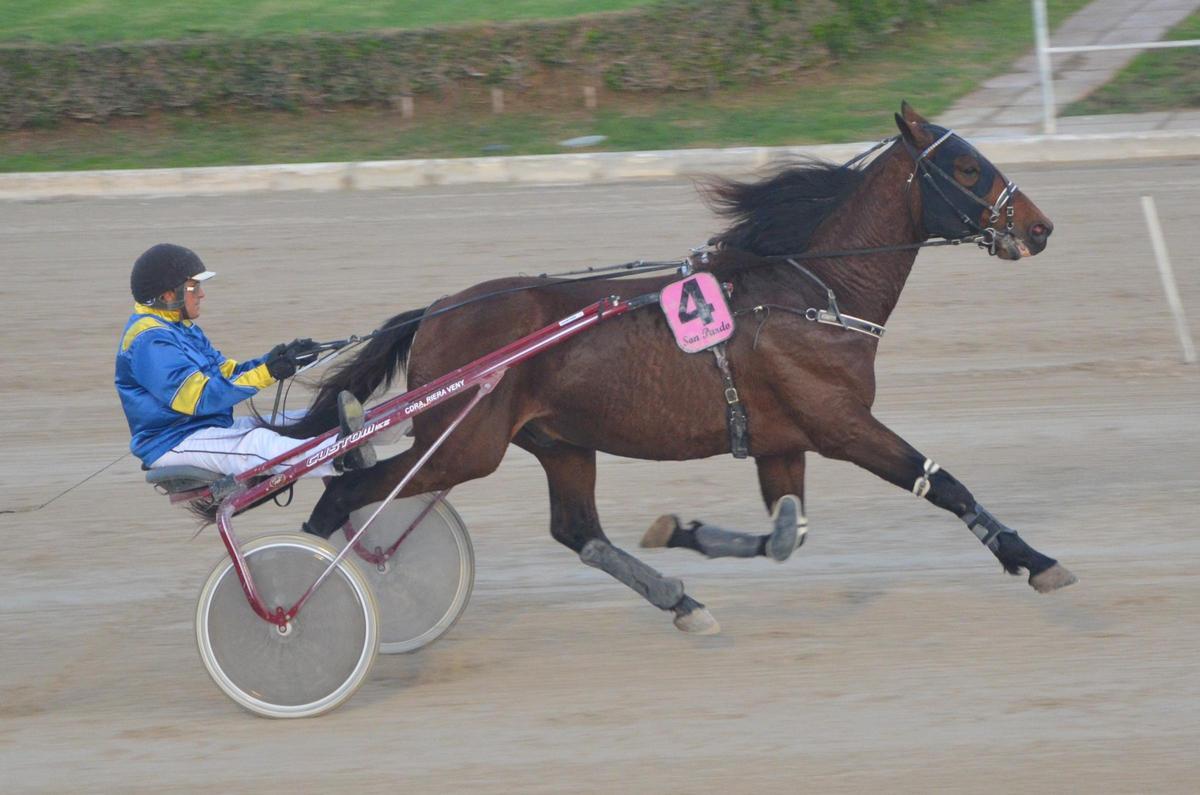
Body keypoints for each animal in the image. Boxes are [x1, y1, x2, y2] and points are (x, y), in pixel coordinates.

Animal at [278, 104, 1080, 634]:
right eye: (968, 166)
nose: (1040, 226)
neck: (810, 294)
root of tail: (439, 311)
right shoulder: (842, 422)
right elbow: (943, 483)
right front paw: (1036, 560)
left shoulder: (782, 441)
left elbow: (787, 536)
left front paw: (677, 531)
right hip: (464, 444)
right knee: (341, 492)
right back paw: (300, 601)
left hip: (559, 441)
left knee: (577, 530)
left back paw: (679, 600)